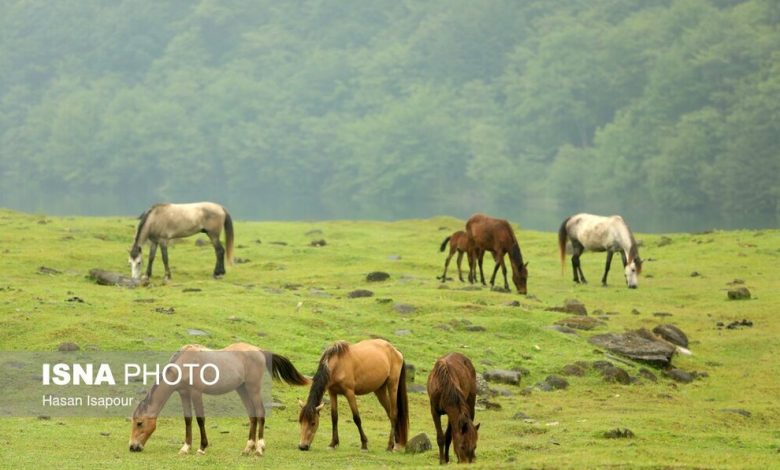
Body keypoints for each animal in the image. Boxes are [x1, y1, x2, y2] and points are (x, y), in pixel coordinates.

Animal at [129, 342, 310, 456]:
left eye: (139, 423)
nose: (132, 447)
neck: (184, 363)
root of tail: (259, 350)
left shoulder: (196, 393)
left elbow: (200, 419)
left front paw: (202, 448)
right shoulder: (184, 393)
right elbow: (188, 420)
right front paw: (185, 448)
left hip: (253, 389)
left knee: (260, 412)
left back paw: (259, 448)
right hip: (242, 389)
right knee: (252, 415)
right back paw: (248, 448)